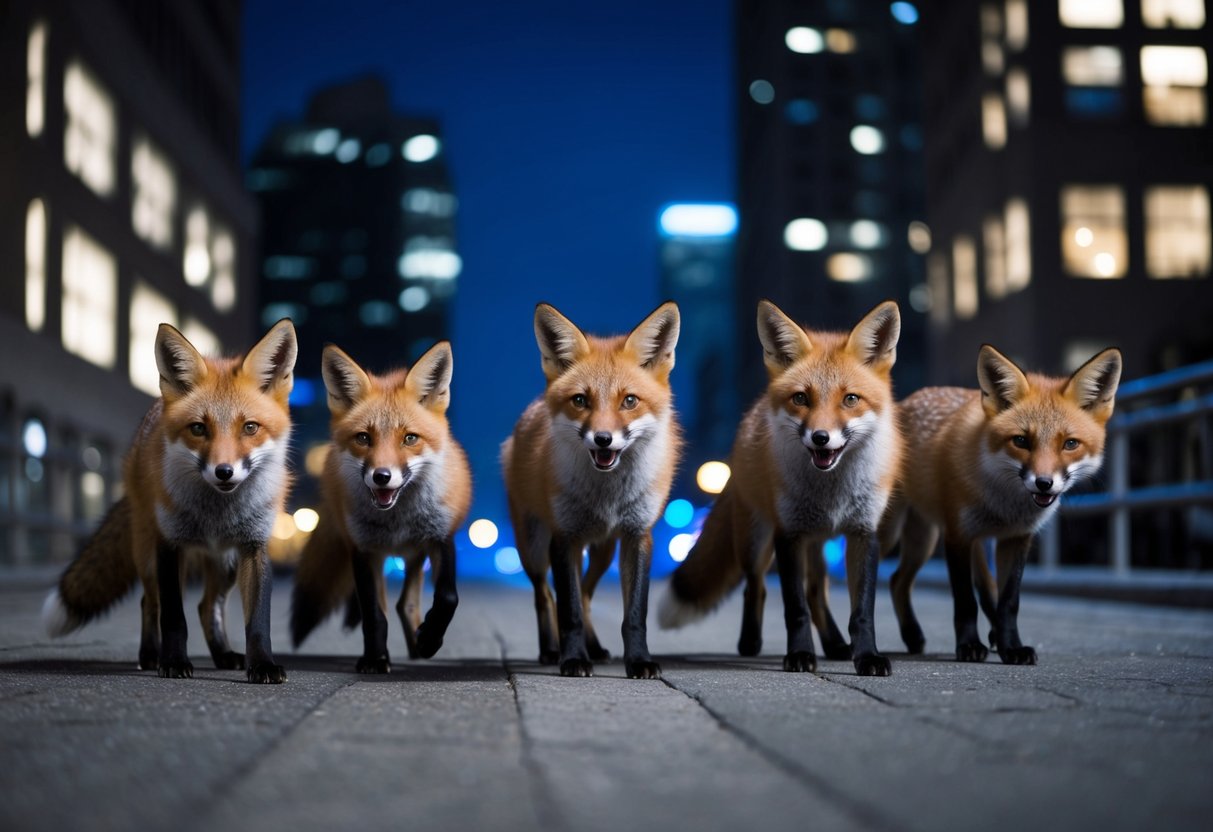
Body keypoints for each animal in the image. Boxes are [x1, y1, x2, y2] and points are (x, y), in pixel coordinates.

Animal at [42, 320, 297, 683]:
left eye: (250, 427)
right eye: (198, 429)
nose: (224, 472)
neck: (216, 514)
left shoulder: (254, 545)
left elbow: (258, 622)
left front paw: (261, 664)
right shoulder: (169, 543)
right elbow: (174, 617)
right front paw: (174, 661)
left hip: (226, 564)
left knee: (207, 607)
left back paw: (222, 655)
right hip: (148, 556)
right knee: (150, 603)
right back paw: (150, 655)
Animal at [289, 341, 470, 673]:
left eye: (410, 438)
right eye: (363, 438)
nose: (382, 476)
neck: (397, 520)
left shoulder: (441, 538)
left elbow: (448, 597)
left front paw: (430, 639)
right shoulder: (363, 549)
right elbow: (374, 615)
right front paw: (375, 659)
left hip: (416, 553)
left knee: (406, 603)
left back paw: (418, 645)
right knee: (390, 606)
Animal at [502, 302, 682, 679]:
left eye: (629, 400)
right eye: (580, 400)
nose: (603, 439)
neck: (607, 496)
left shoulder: (637, 535)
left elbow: (634, 615)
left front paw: (638, 661)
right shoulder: (564, 537)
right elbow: (567, 611)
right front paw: (572, 659)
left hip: (603, 551)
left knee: (585, 594)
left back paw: (595, 648)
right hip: (533, 548)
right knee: (545, 595)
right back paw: (550, 650)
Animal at [659, 300, 903, 677]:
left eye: (850, 399)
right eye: (801, 398)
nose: (820, 438)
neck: (831, 492)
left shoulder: (864, 534)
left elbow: (861, 612)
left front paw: (867, 657)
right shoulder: (788, 535)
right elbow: (794, 608)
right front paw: (800, 655)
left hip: (816, 544)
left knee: (816, 592)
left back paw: (835, 646)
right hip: (756, 539)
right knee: (755, 586)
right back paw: (750, 643)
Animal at [877, 344, 1122, 665]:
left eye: (1070, 444)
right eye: (1021, 441)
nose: (1044, 483)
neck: (1004, 505)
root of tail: (906, 402)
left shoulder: (1015, 538)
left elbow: (1007, 602)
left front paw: (1011, 647)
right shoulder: (958, 536)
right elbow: (965, 601)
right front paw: (969, 646)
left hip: (926, 540)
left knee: (898, 581)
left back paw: (913, 635)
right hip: (893, 533)